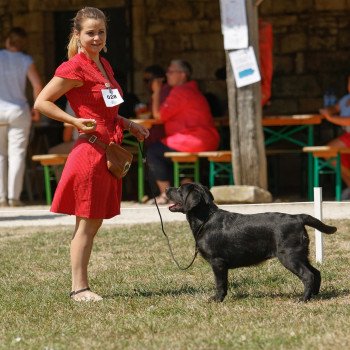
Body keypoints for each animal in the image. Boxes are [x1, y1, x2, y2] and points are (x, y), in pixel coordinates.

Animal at [166, 183, 336, 300]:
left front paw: (217, 299)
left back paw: (303, 299)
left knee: (308, 275)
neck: (205, 219)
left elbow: (220, 283)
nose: (167, 188)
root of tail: (298, 217)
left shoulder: (217, 262)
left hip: (289, 256)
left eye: (179, 190)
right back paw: (314, 295)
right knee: (316, 272)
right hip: (300, 254)